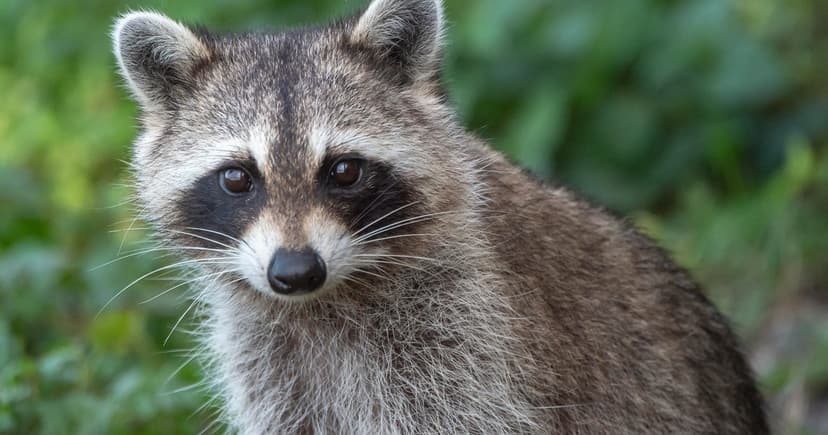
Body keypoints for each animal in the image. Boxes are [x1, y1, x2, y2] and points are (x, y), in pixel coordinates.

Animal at [112, 0, 768, 433]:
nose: (295, 272)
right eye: (237, 178)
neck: (329, 302)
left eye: (344, 171)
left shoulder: (475, 341)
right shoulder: (272, 368)